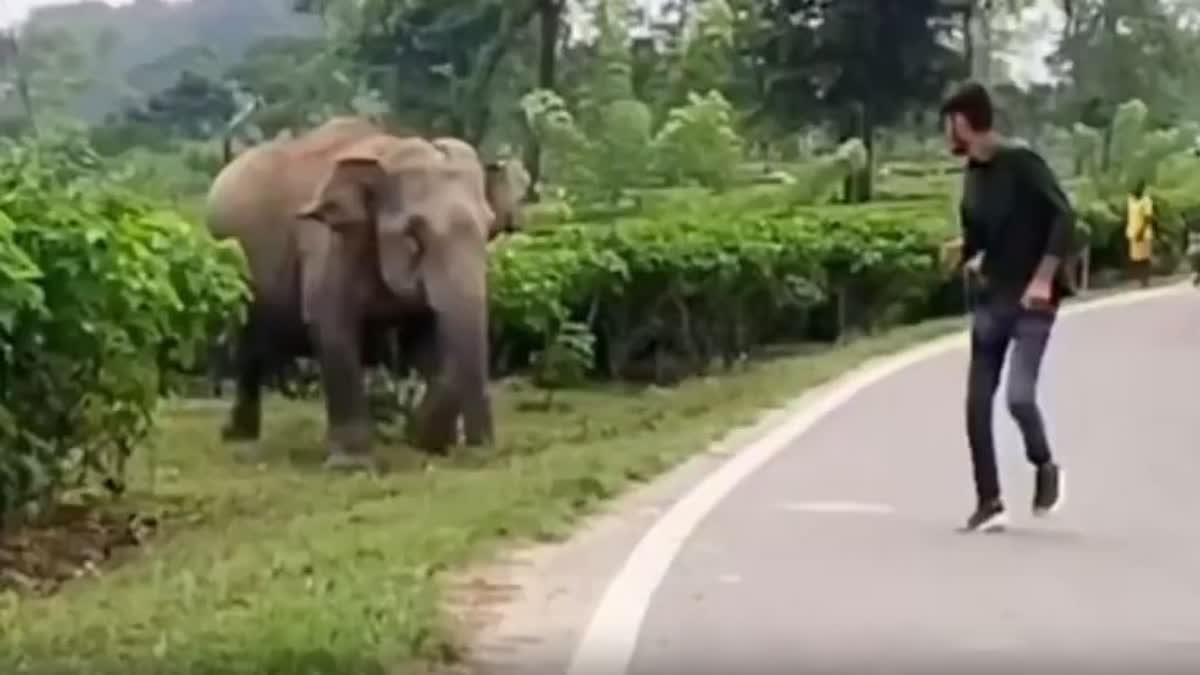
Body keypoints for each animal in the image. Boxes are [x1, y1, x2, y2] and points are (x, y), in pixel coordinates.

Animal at [204, 115, 523, 466]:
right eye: (413, 235)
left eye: (489, 229)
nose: (481, 449)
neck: (388, 152)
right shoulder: (329, 244)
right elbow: (332, 328)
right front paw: (350, 464)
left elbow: (428, 338)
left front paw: (429, 442)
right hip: (231, 270)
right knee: (247, 346)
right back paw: (237, 435)